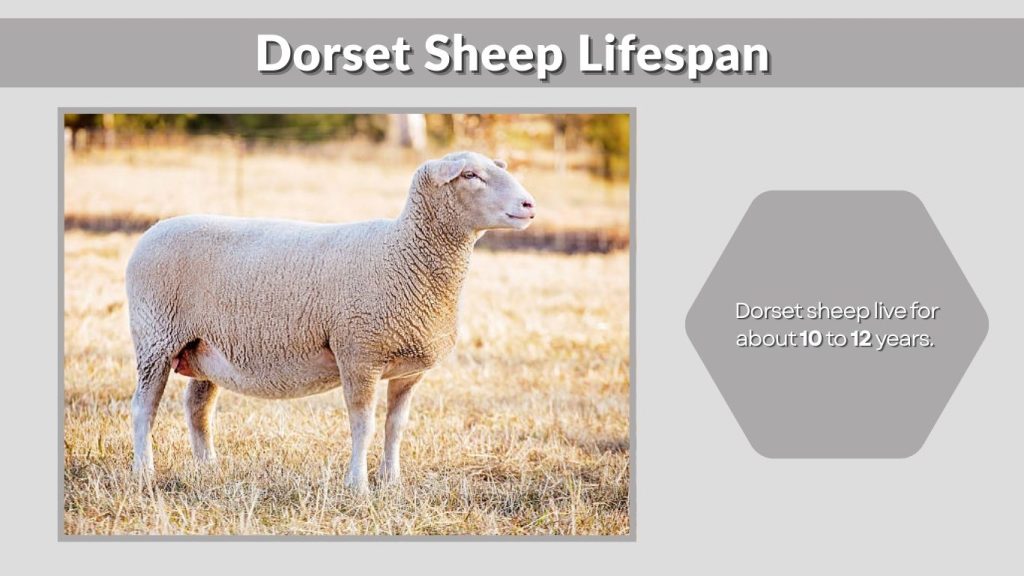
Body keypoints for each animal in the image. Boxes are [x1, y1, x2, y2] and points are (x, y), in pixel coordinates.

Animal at [125, 151, 537, 492]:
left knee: (197, 407)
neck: (403, 252)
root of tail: (154, 229)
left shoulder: (408, 370)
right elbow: (363, 424)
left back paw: (208, 467)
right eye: (469, 174)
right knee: (144, 407)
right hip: (155, 337)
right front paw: (358, 486)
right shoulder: (359, 354)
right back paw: (144, 472)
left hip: (204, 347)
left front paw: (392, 482)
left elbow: (396, 427)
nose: (529, 204)